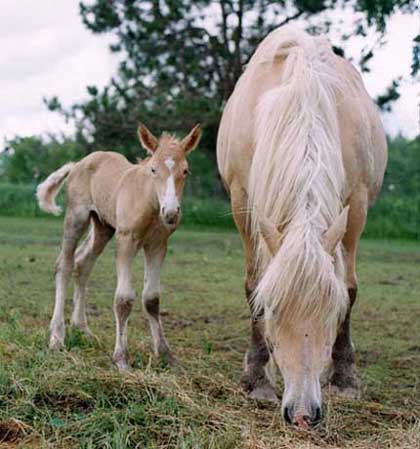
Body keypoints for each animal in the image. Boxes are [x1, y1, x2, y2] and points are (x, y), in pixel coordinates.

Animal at [37, 123, 201, 368]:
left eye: (186, 171)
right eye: (153, 169)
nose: (171, 213)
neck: (148, 202)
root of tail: (77, 164)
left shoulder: (158, 244)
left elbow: (152, 299)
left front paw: (165, 354)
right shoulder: (126, 240)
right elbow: (123, 298)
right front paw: (121, 358)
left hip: (103, 227)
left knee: (82, 264)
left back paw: (82, 328)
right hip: (77, 218)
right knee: (64, 266)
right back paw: (57, 337)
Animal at [218, 25, 386, 428]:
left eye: (331, 312)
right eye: (274, 312)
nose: (303, 415)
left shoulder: (356, 205)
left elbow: (350, 288)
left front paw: (345, 377)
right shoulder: (242, 199)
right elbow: (253, 285)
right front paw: (257, 379)